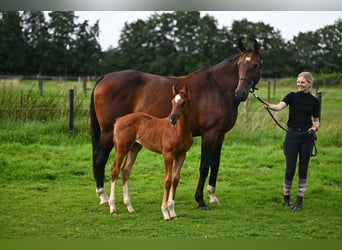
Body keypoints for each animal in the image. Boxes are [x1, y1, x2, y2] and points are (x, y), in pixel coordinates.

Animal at [109, 86, 192, 221]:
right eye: (172, 102)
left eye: (183, 102)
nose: (172, 119)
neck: (178, 130)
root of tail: (118, 120)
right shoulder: (167, 154)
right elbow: (168, 180)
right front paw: (165, 212)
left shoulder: (181, 155)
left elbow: (175, 180)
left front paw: (173, 212)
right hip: (122, 148)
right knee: (115, 169)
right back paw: (112, 208)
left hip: (135, 148)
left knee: (126, 169)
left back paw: (130, 207)